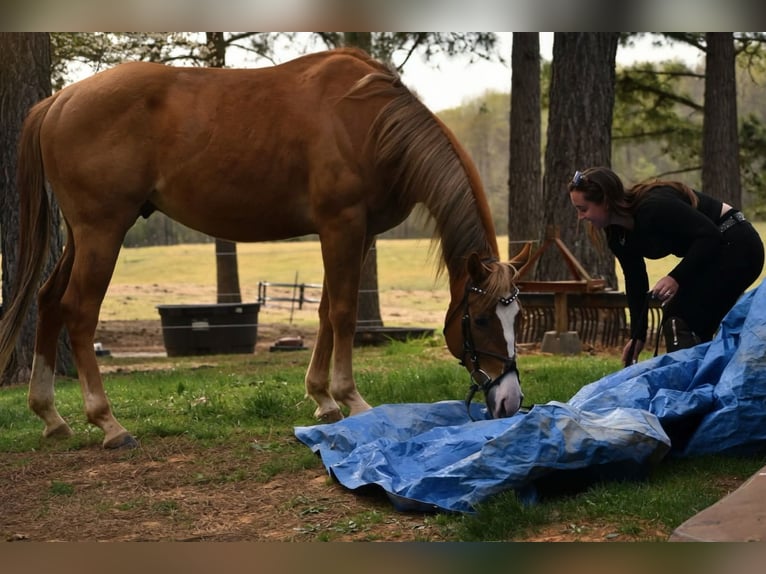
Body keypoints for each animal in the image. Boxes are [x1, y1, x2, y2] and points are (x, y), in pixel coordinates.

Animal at [0, 48, 526, 449]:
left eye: (517, 317)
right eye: (481, 320)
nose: (510, 402)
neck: (369, 121)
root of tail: (60, 99)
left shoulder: (359, 234)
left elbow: (324, 311)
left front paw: (323, 398)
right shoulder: (342, 225)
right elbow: (343, 314)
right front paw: (350, 398)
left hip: (81, 234)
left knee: (49, 301)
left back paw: (50, 415)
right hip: (103, 230)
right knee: (79, 310)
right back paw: (108, 422)